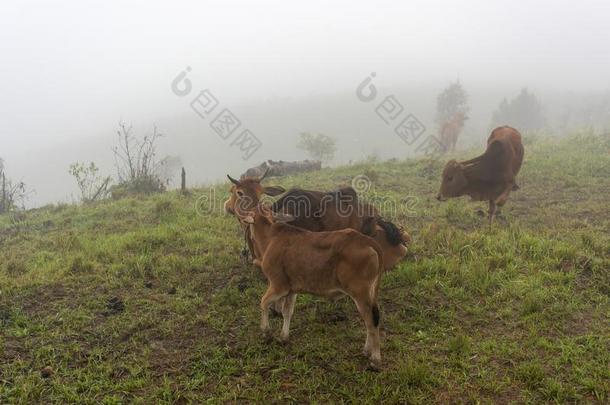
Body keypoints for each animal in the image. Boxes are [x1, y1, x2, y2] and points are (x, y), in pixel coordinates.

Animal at [235, 204, 382, 368]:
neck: (271, 238)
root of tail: (366, 241)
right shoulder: (291, 290)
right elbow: (287, 312)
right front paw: (283, 336)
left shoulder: (278, 286)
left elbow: (264, 302)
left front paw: (266, 331)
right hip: (370, 293)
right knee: (372, 320)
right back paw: (367, 351)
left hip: (360, 294)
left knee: (371, 321)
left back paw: (375, 358)